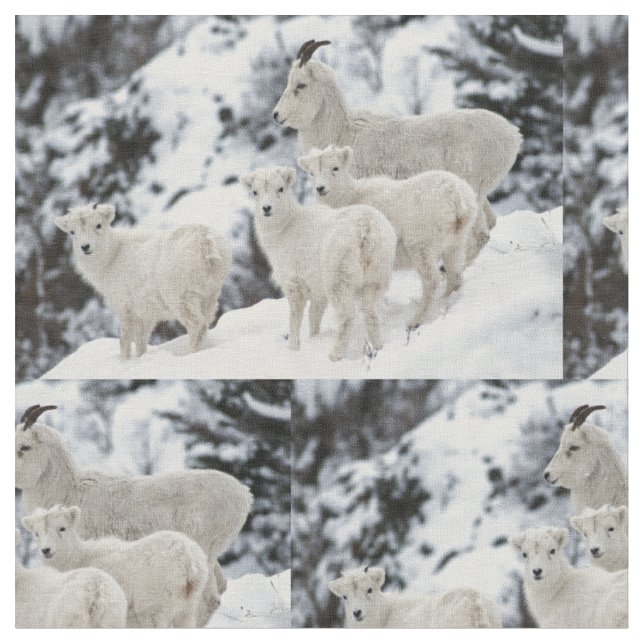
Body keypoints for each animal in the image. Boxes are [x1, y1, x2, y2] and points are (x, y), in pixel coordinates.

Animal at [23, 505, 209, 628]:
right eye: (36, 533)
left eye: (62, 528)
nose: (46, 550)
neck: (78, 557)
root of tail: (188, 558)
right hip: (188, 606)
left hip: (155, 604)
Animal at [54, 203, 231, 358]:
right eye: (72, 232)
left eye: (98, 225)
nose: (85, 247)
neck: (112, 257)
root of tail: (205, 241)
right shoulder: (145, 315)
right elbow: (141, 342)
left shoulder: (125, 309)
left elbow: (125, 340)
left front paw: (125, 361)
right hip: (209, 296)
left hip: (181, 298)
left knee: (197, 325)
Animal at [242, 166, 396, 361]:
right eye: (255, 192)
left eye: (281, 189)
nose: (266, 208)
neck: (284, 229)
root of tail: (366, 229)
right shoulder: (317, 290)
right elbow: (314, 317)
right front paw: (313, 338)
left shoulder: (294, 284)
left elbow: (296, 318)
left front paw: (293, 349)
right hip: (376, 276)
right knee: (372, 312)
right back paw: (377, 347)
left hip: (339, 279)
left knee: (347, 315)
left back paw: (335, 355)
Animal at [298, 146, 479, 327]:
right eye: (311, 173)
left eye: (335, 168)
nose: (320, 188)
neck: (350, 197)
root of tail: (455, 195)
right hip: (456, 243)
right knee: (455, 274)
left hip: (421, 246)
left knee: (431, 281)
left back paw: (416, 320)